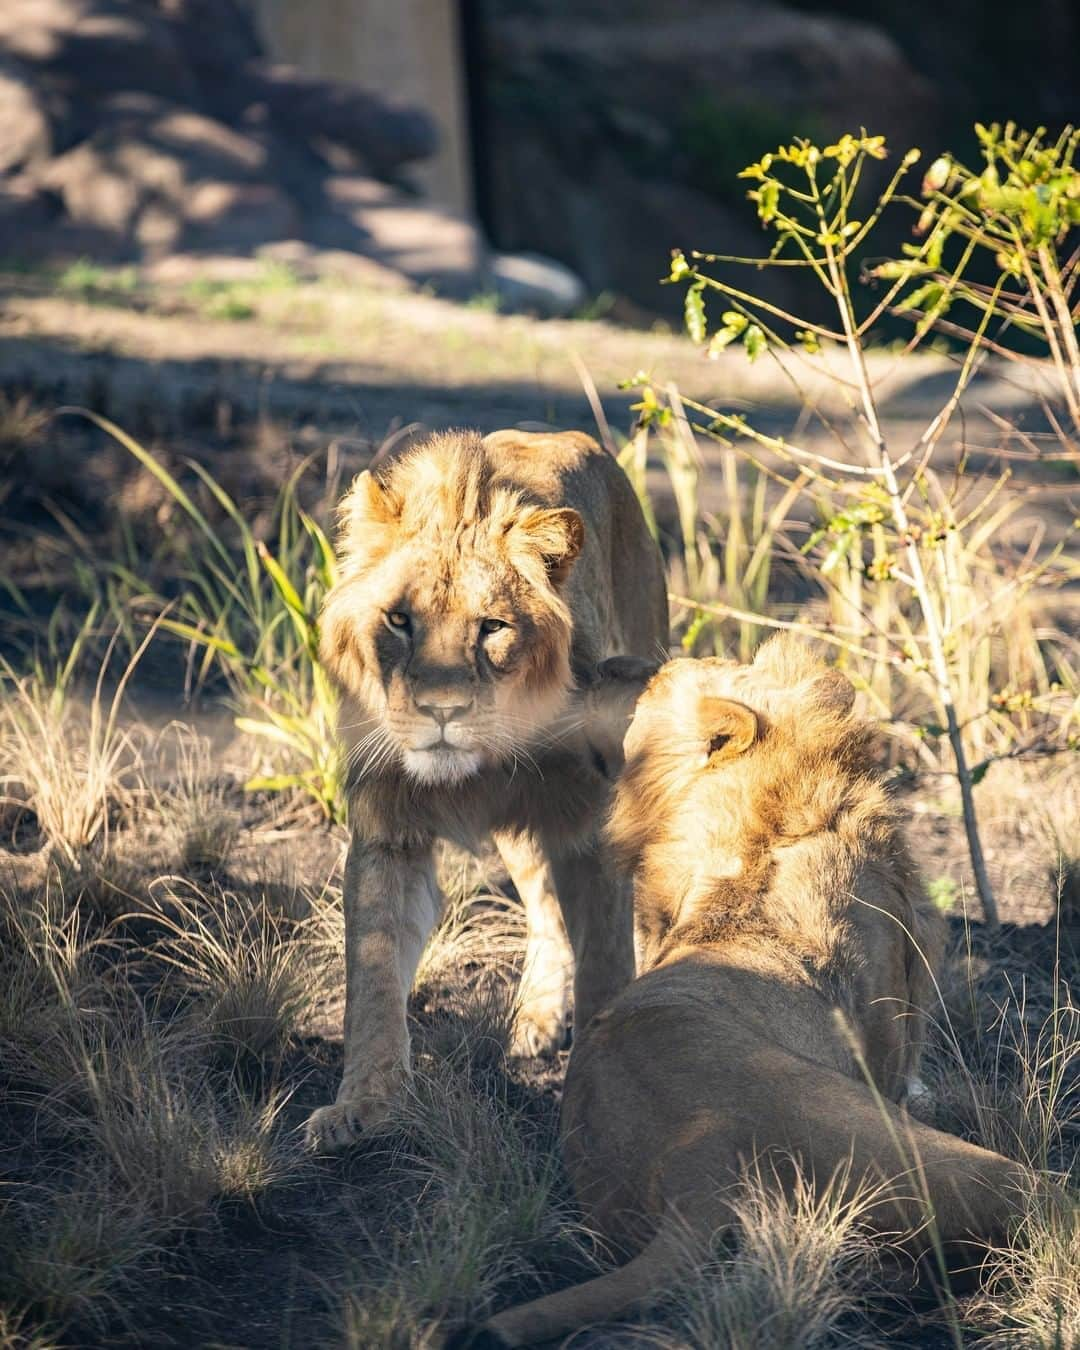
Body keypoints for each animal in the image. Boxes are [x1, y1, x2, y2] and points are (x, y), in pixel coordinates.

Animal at [303, 426, 666, 1144]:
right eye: (399, 620)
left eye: (492, 627)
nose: (440, 709)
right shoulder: (389, 832)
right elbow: (372, 976)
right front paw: (364, 1104)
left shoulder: (588, 826)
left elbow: (607, 964)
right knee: (545, 912)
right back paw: (536, 1016)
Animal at [477, 637, 1047, 1344]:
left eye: (650, 678)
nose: (602, 663)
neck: (763, 827)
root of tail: (698, 1173)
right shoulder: (888, 1036)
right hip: (922, 1147)